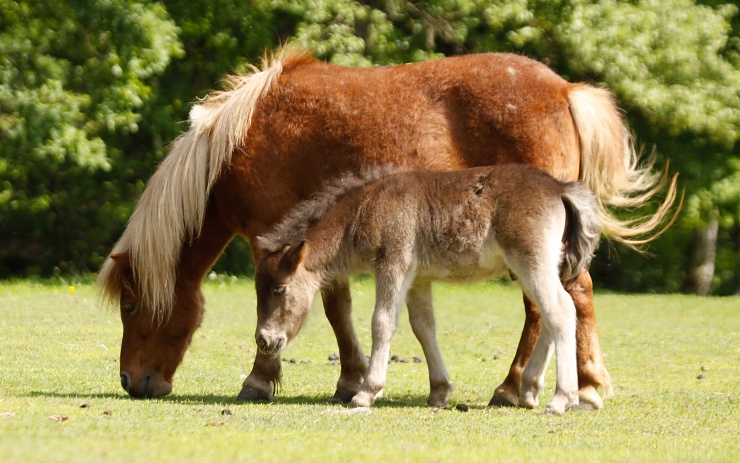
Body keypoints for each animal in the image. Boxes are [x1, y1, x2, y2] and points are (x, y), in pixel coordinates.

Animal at [97, 47, 676, 410]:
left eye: (131, 305)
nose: (131, 381)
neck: (241, 145)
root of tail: (565, 89)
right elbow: (339, 307)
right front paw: (349, 378)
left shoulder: (280, 244)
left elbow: (314, 308)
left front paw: (262, 379)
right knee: (565, 302)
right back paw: (557, 387)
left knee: (557, 305)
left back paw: (531, 388)